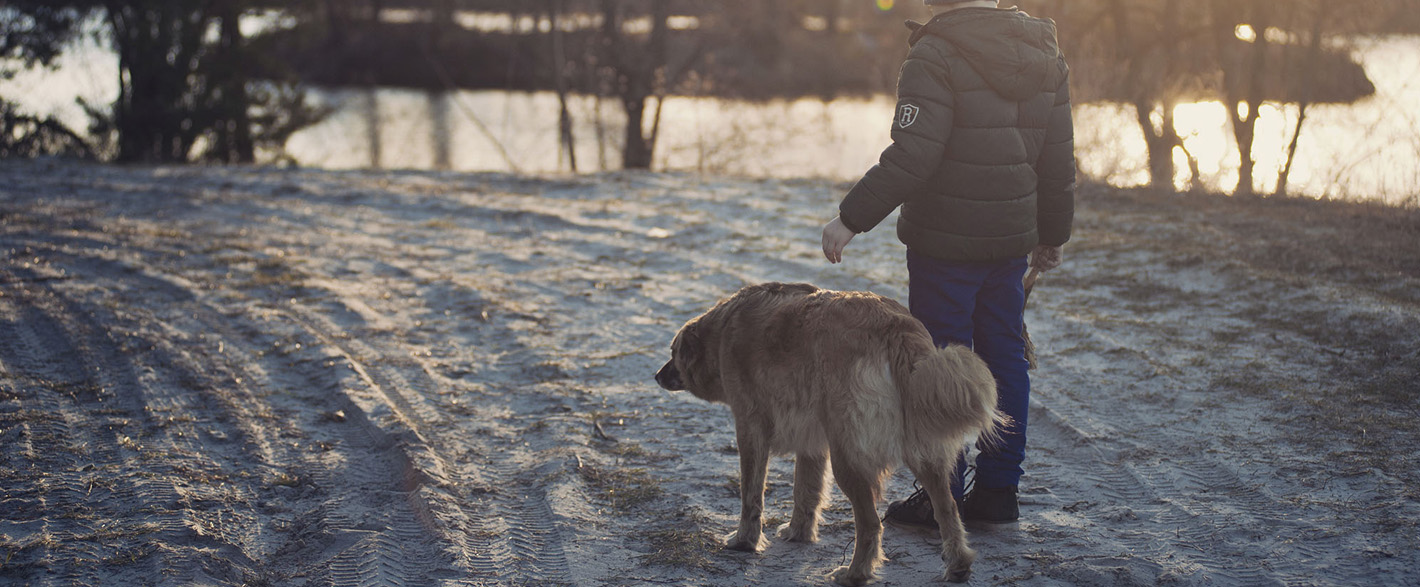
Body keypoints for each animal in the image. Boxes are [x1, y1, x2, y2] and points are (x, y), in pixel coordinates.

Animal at [656, 281, 1005, 582]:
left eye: (673, 353)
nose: (657, 375)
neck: (723, 331)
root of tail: (895, 327)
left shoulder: (750, 426)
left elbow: (751, 494)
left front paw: (745, 540)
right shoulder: (813, 442)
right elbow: (806, 491)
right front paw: (799, 533)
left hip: (848, 456)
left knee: (870, 524)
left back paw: (855, 573)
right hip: (921, 452)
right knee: (947, 510)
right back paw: (957, 565)